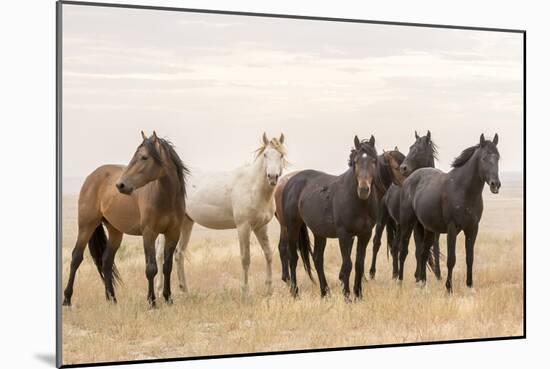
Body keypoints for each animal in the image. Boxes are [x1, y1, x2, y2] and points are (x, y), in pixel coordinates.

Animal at [63, 131, 190, 306]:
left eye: (144, 157)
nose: (120, 185)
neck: (166, 198)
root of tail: (92, 176)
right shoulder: (149, 233)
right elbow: (151, 268)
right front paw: (152, 302)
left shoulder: (173, 233)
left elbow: (167, 266)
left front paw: (168, 299)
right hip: (86, 226)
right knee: (76, 258)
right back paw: (67, 300)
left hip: (115, 231)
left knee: (106, 262)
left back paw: (112, 300)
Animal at [155, 132, 288, 294]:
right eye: (265, 155)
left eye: (281, 155)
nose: (272, 177)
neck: (253, 187)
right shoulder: (243, 227)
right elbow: (245, 258)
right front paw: (245, 291)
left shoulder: (260, 227)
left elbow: (268, 254)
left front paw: (269, 290)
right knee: (161, 255)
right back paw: (159, 291)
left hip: (186, 223)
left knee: (179, 253)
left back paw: (185, 290)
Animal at [370, 132, 444, 278]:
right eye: (410, 148)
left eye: (419, 150)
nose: (403, 168)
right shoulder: (416, 227)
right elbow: (418, 250)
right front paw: (419, 276)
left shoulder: (434, 229)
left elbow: (435, 249)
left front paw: (438, 275)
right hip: (383, 220)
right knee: (377, 243)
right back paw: (372, 273)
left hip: (399, 225)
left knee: (395, 247)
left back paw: (395, 274)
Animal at [398, 134, 502, 292]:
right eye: (484, 158)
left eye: (497, 157)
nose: (495, 184)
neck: (463, 190)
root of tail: (409, 179)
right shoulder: (452, 229)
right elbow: (451, 260)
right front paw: (448, 288)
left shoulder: (472, 229)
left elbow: (469, 258)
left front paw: (470, 286)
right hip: (407, 224)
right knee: (403, 252)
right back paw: (399, 282)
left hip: (428, 229)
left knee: (423, 253)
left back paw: (423, 284)